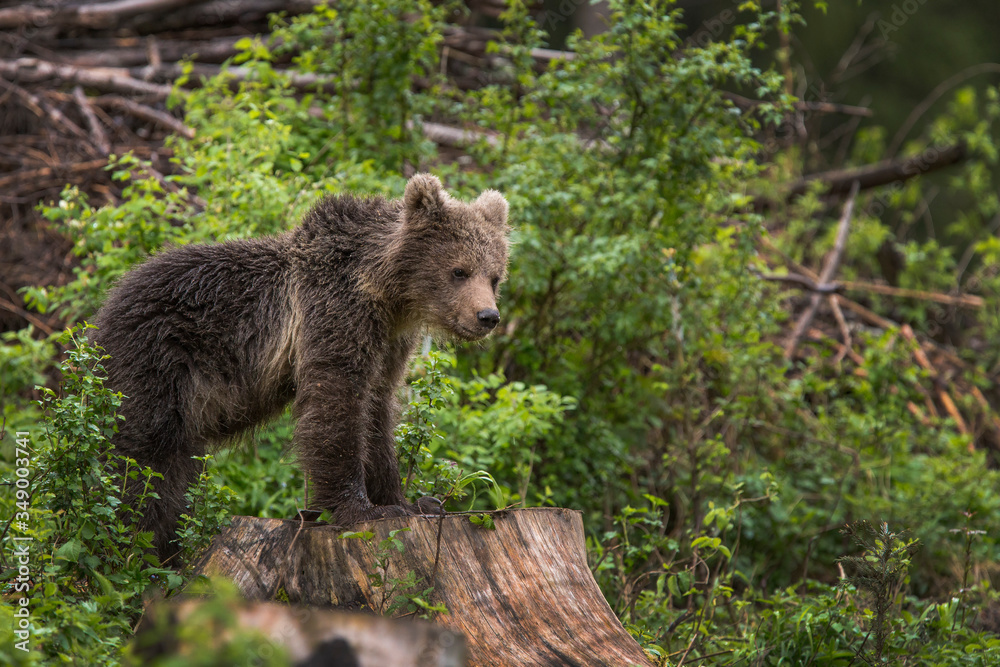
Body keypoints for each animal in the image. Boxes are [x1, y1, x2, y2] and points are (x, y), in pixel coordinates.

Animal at [93, 173, 510, 561]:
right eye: (459, 270)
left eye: (494, 276)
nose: (488, 316)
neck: (384, 293)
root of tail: (106, 307)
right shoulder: (333, 313)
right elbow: (336, 405)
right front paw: (360, 509)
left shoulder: (388, 345)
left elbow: (377, 410)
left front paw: (409, 501)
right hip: (157, 363)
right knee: (145, 458)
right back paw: (135, 542)